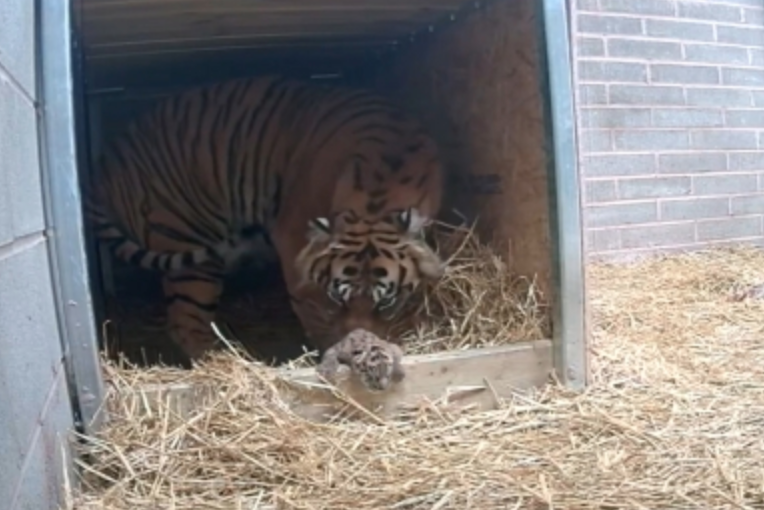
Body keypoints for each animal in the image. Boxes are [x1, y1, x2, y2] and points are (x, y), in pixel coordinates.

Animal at [84, 75, 444, 362]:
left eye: (385, 303)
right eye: (336, 300)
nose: (356, 346)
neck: (379, 193)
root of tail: (103, 163)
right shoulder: (294, 241)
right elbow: (311, 306)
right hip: (185, 240)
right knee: (185, 322)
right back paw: (221, 362)